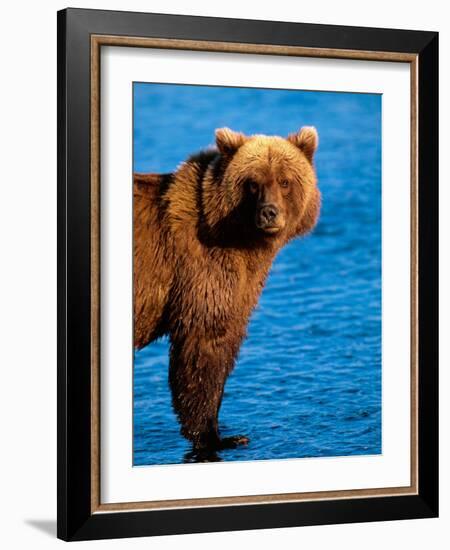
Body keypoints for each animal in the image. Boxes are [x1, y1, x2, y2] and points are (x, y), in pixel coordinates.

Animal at [134, 127, 320, 454]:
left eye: (284, 181)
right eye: (253, 183)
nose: (269, 213)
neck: (239, 239)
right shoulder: (202, 271)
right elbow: (204, 348)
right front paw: (218, 436)